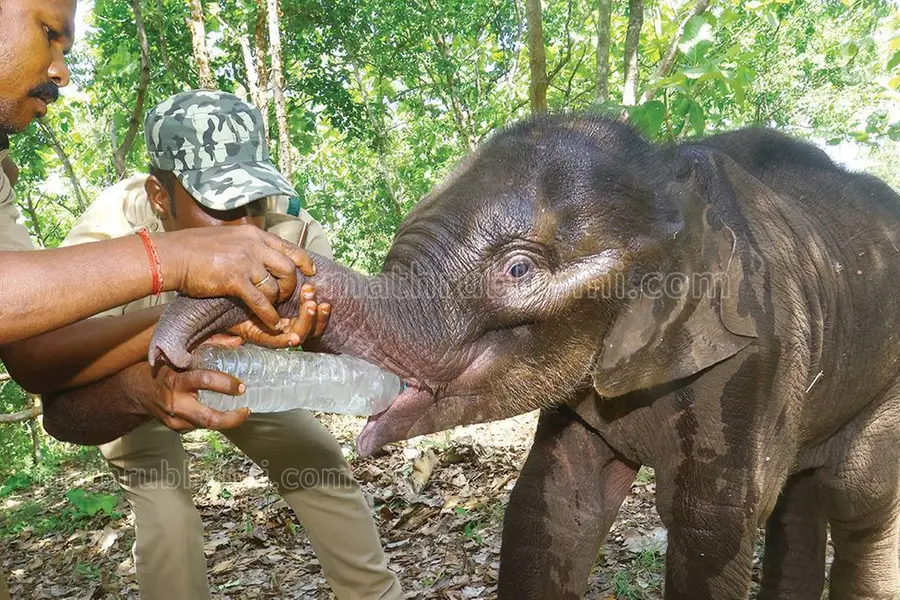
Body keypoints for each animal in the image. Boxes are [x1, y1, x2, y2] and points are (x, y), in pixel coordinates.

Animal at [62, 114, 900, 598]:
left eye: (520, 269)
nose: (168, 356)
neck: (672, 183)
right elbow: (552, 504)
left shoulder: (759, 357)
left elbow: (710, 524)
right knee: (801, 500)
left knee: (854, 497)